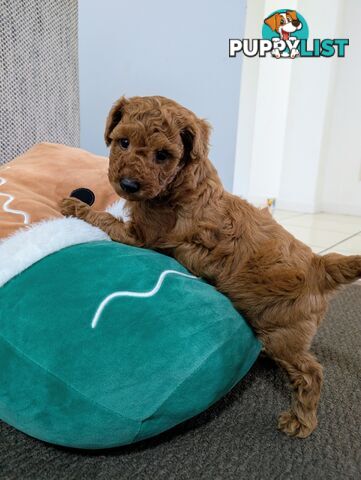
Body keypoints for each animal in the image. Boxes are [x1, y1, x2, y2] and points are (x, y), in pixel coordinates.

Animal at [61, 96, 360, 438]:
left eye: (163, 155)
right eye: (123, 142)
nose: (128, 184)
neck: (181, 181)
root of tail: (319, 264)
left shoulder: (143, 235)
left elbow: (107, 220)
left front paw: (76, 206)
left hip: (284, 330)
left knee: (310, 371)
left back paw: (301, 420)